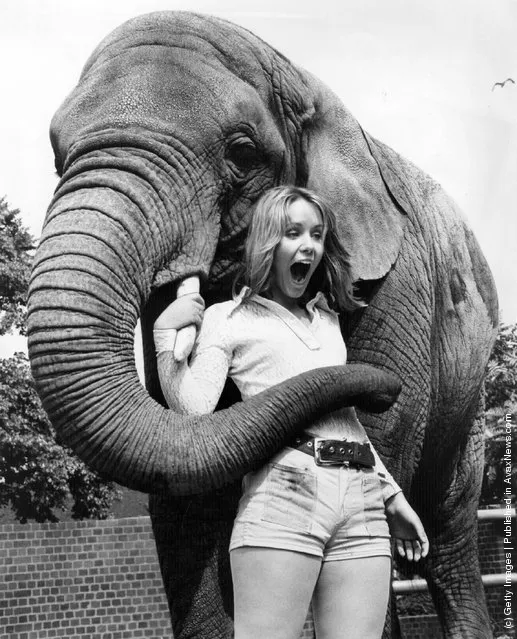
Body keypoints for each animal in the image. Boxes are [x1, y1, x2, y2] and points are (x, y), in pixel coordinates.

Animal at [26, 10, 498, 639]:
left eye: (243, 152)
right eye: (58, 156)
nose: (382, 387)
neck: (301, 78)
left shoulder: (400, 282)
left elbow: (383, 447)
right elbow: (186, 480)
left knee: (448, 533)